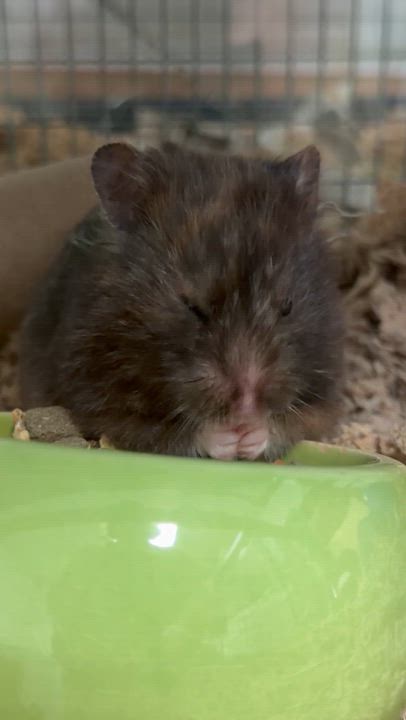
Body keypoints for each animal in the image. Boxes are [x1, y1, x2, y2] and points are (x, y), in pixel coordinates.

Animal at [20, 141, 344, 461]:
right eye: (192, 307)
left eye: (287, 306)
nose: (246, 411)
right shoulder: (95, 395)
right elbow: (165, 432)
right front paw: (226, 437)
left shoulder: (324, 397)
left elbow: (293, 424)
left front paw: (252, 433)